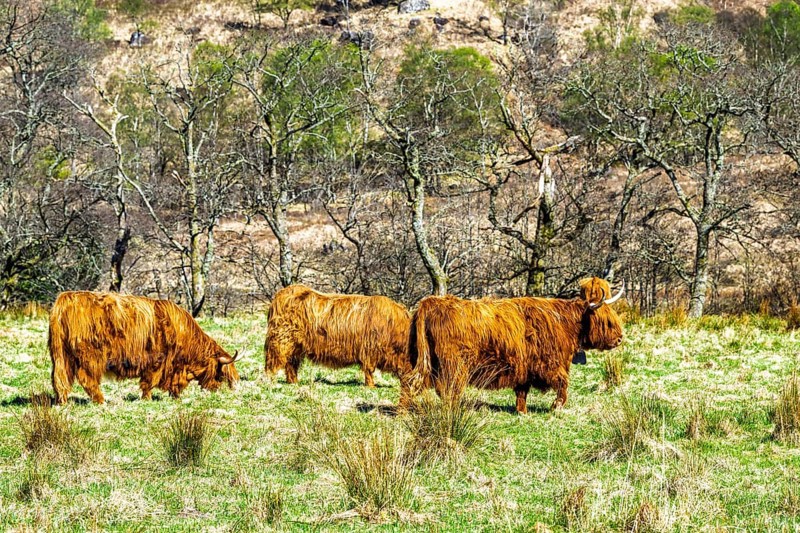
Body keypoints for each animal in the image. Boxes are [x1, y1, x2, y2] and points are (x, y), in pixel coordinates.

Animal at [48, 291, 240, 404]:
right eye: (220, 374)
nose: (215, 390)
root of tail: (65, 299)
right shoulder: (156, 361)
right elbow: (149, 382)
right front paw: (147, 399)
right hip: (91, 356)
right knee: (87, 379)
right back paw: (101, 401)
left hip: (61, 355)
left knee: (60, 378)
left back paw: (62, 401)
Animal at [264, 284, 413, 403]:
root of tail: (282, 293)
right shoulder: (370, 351)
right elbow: (369, 371)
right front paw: (371, 386)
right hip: (281, 341)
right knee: (274, 362)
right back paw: (271, 381)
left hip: (296, 347)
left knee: (291, 364)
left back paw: (294, 382)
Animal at [409, 277, 624, 413]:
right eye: (607, 321)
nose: (620, 338)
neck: (566, 323)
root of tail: (431, 302)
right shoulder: (550, 364)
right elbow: (563, 383)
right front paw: (556, 407)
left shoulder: (525, 367)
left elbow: (522, 392)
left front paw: (522, 412)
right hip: (454, 365)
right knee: (449, 391)